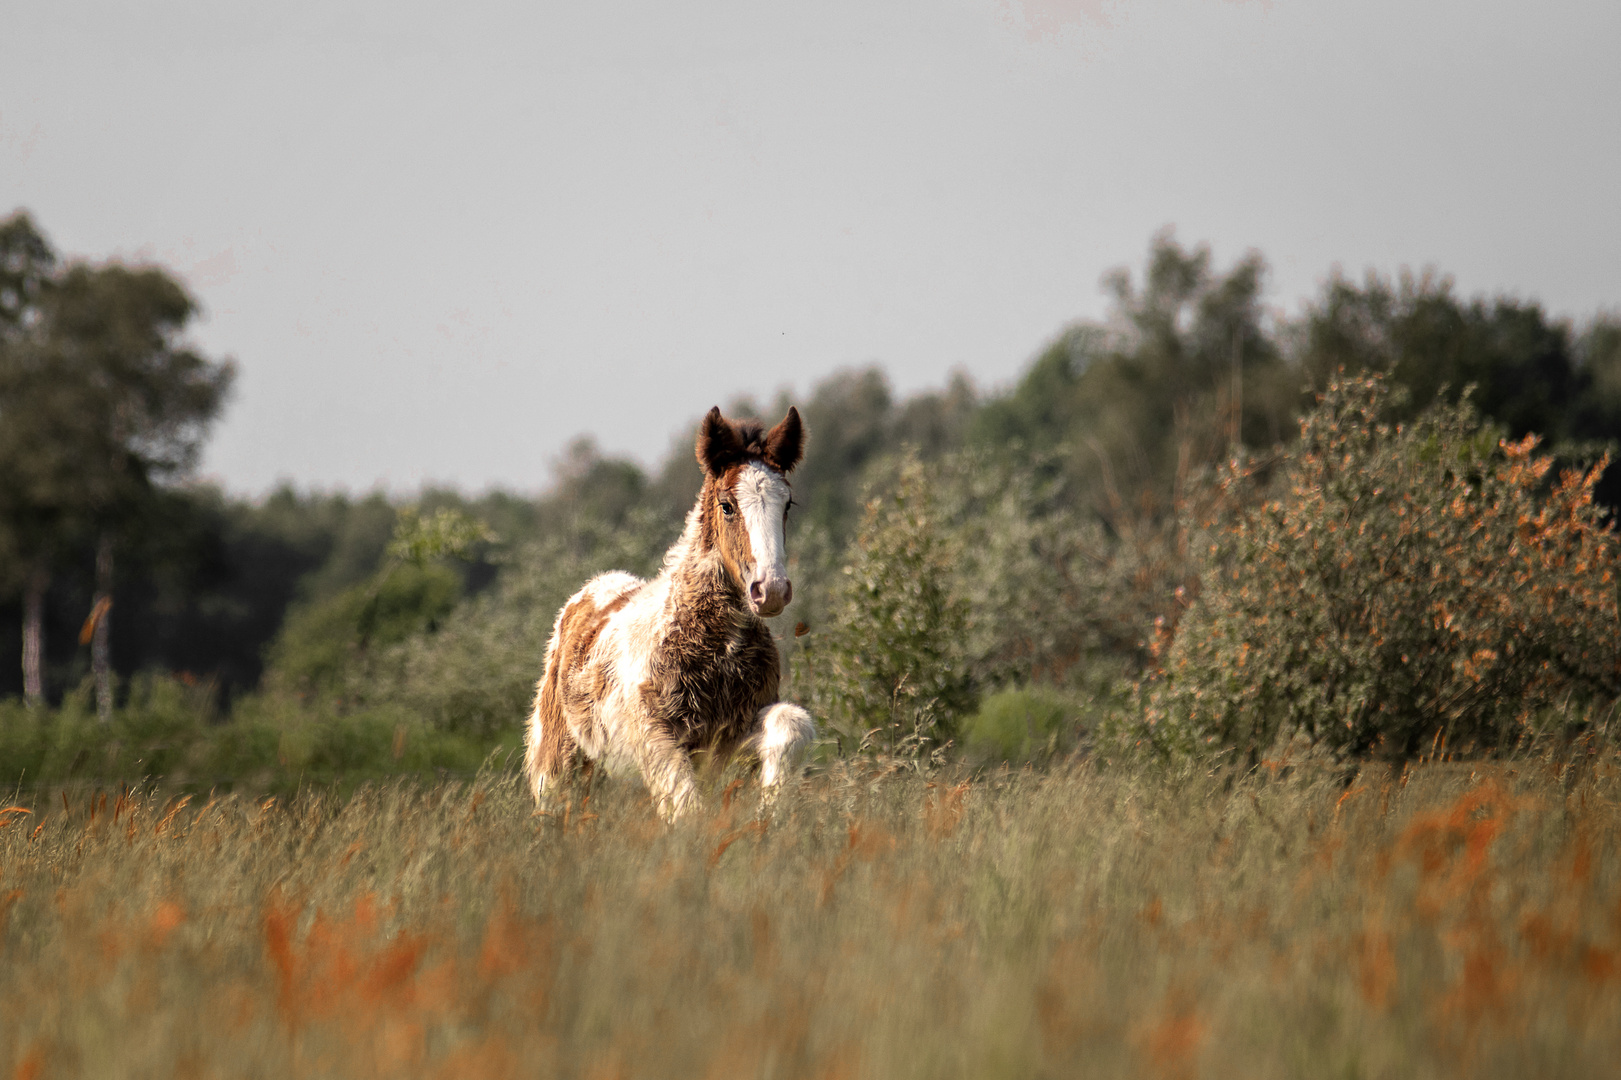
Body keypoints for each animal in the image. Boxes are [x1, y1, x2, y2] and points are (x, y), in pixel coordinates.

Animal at [525, 403, 816, 817]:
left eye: (786, 504)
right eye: (727, 506)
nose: (771, 590)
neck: (714, 649)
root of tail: (583, 598)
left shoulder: (725, 739)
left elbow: (791, 724)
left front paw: (769, 811)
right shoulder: (656, 736)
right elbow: (686, 809)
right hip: (557, 764)